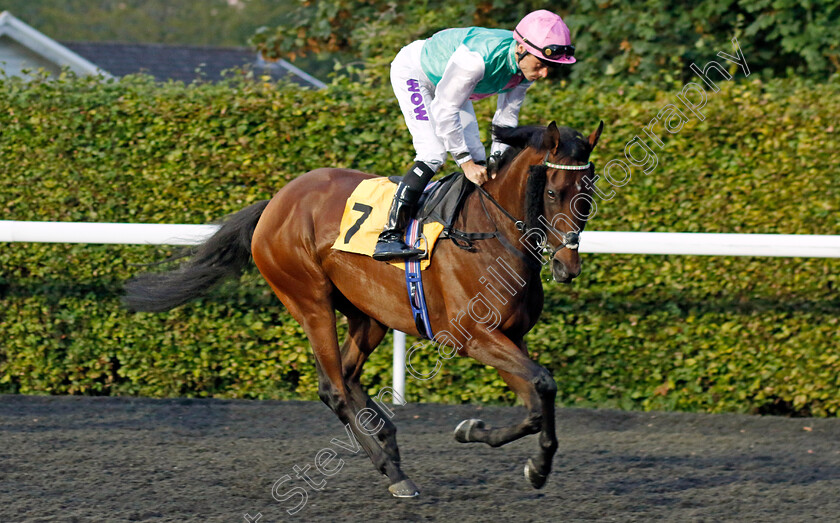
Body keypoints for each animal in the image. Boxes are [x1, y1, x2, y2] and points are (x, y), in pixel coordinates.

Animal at [124, 119, 604, 500]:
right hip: (310, 301)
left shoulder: (508, 337)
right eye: (554, 191)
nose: (567, 266)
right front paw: (529, 460)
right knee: (333, 387)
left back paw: (387, 438)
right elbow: (543, 384)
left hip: (367, 313)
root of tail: (274, 203)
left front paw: (509, 451)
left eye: (589, 191)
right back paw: (393, 471)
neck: (488, 234)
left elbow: (536, 399)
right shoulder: (472, 335)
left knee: (350, 375)